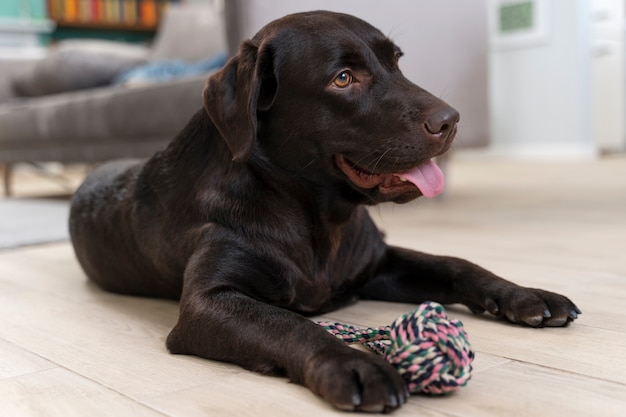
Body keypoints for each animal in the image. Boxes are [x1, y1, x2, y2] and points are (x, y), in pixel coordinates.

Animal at [69, 11, 580, 412]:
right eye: (343, 78)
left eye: (397, 62)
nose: (451, 120)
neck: (316, 217)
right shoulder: (208, 302)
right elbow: (287, 323)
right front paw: (354, 364)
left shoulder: (377, 262)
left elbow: (457, 264)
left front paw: (525, 295)